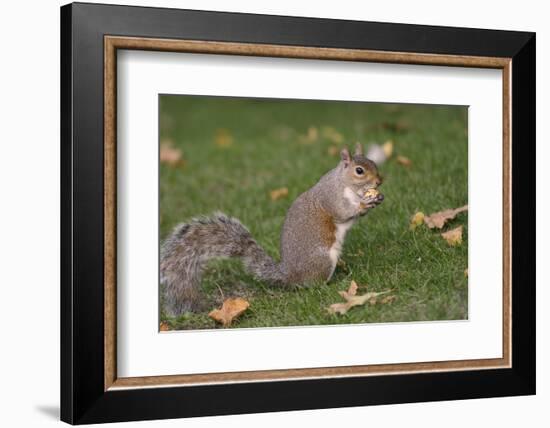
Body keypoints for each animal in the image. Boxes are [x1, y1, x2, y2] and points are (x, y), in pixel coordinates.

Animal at [160, 143, 384, 314]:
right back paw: (332, 283)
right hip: (323, 260)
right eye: (359, 170)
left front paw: (376, 198)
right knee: (312, 285)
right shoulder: (332, 199)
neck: (344, 183)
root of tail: (288, 275)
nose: (380, 181)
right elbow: (343, 212)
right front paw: (365, 204)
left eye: (373, 163)